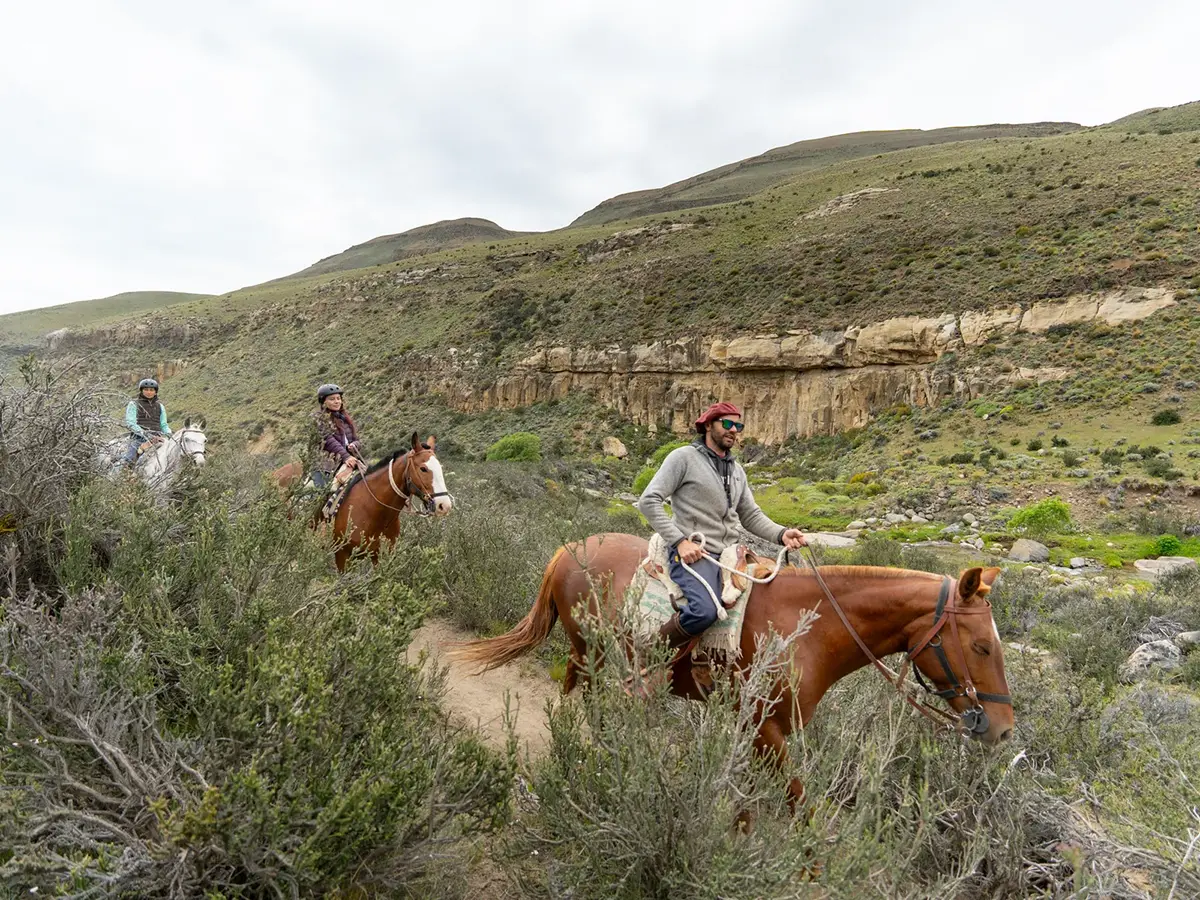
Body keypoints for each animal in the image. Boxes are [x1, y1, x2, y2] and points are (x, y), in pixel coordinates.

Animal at [273, 432, 450, 571]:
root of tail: (277, 473)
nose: (444, 505)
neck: (373, 509)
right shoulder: (342, 555)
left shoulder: (381, 555)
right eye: (423, 468)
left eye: (441, 467)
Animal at [450, 532, 1014, 810]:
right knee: (584, 695)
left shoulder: (757, 730)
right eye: (982, 646)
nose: (1004, 730)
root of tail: (570, 549)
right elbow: (799, 801)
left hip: (588, 650)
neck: (809, 628)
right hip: (590, 649)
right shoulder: (765, 728)